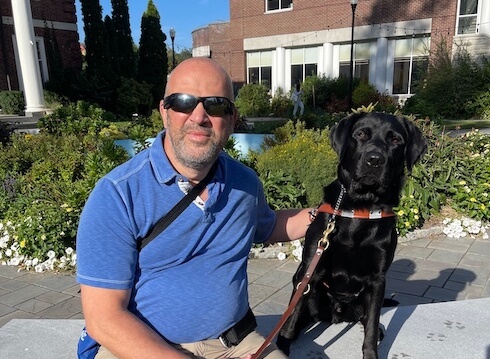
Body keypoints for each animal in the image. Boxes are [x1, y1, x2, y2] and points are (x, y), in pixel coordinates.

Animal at [278, 112, 426, 359]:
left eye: (396, 140)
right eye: (361, 134)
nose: (374, 160)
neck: (360, 209)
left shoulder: (377, 280)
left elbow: (371, 328)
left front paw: (371, 352)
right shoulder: (311, 270)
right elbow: (290, 321)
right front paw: (280, 347)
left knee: (369, 321)